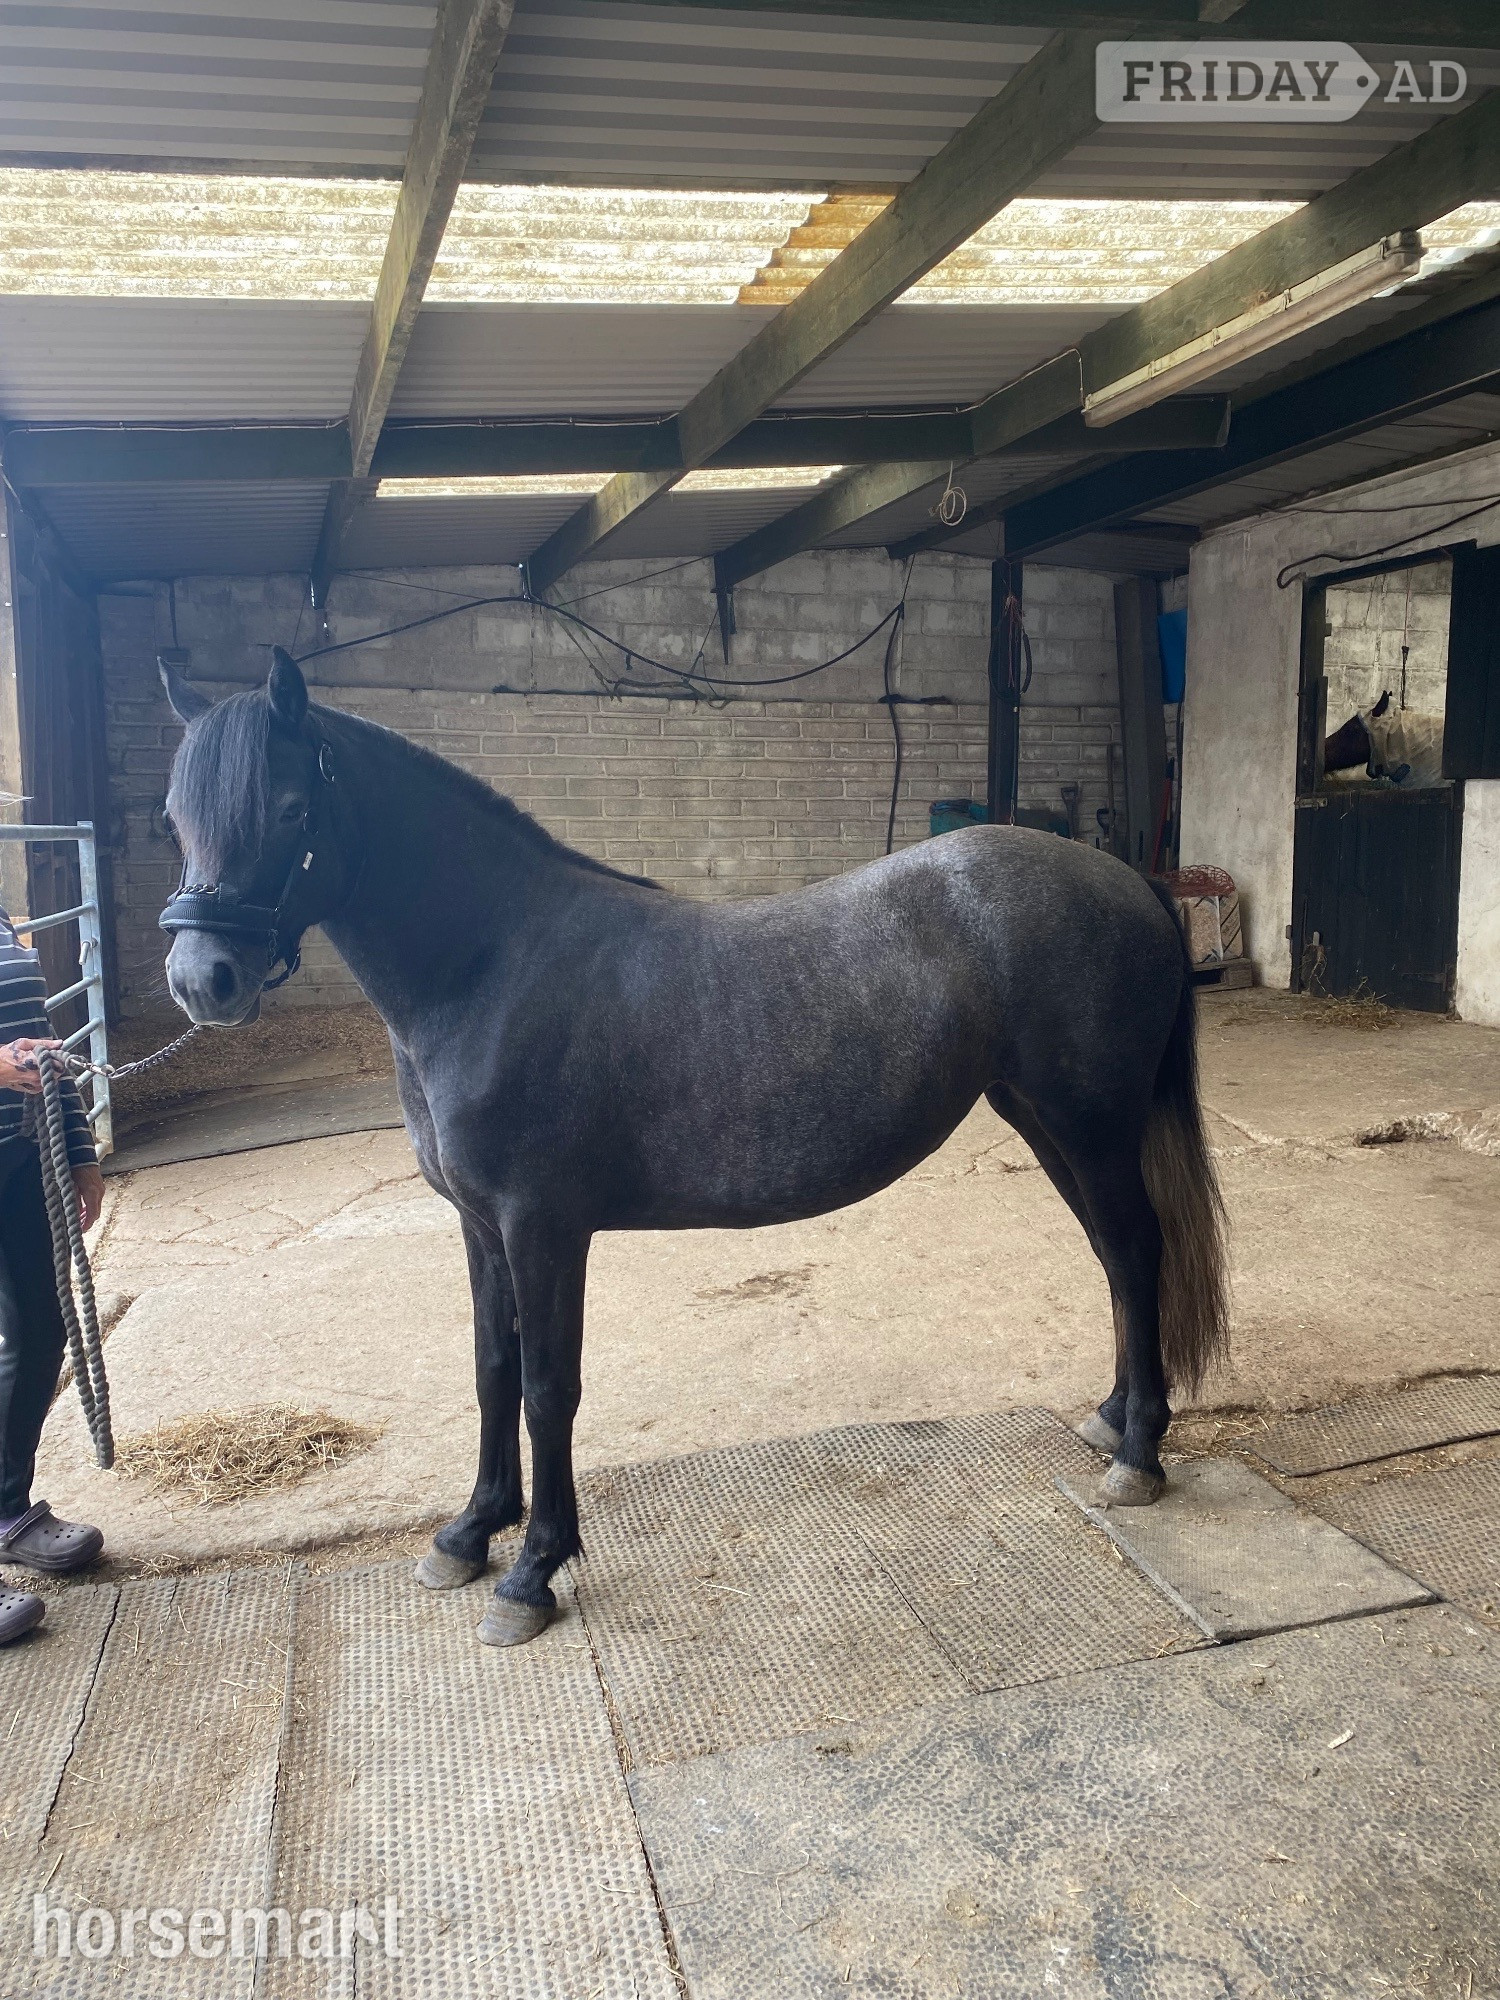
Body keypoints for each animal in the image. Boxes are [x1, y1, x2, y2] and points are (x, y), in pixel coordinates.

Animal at [158, 649, 1228, 1648]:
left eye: (292, 806)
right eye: (175, 817)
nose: (202, 979)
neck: (492, 966)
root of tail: (1126, 877)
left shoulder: (544, 1228)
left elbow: (547, 1386)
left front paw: (531, 1572)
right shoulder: (479, 1226)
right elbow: (492, 1369)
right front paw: (468, 1534)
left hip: (1090, 1124)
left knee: (1135, 1250)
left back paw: (1138, 1457)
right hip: (1044, 1120)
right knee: (1114, 1257)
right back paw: (1112, 1418)